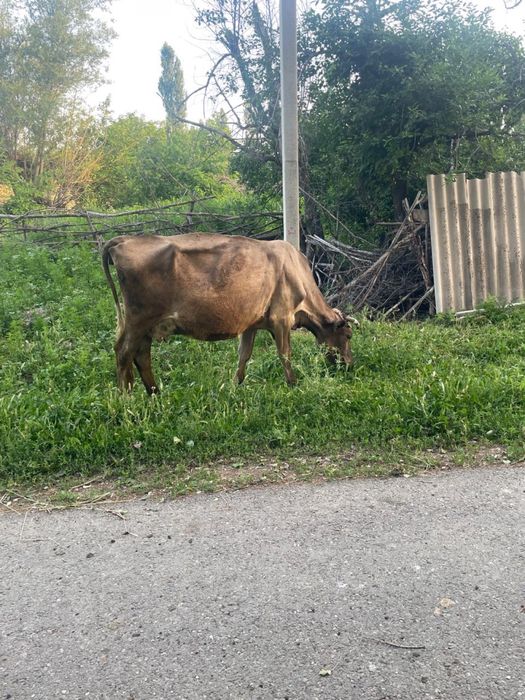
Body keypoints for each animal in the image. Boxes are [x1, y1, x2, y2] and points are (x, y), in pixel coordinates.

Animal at [102, 233, 354, 394]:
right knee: (124, 353)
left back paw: (153, 393)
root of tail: (124, 239)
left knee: (141, 355)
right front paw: (293, 384)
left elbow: (244, 354)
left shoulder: (252, 323)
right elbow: (285, 354)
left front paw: (236, 385)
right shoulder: (281, 318)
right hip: (138, 320)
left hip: (145, 325)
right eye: (348, 336)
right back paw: (126, 398)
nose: (349, 365)